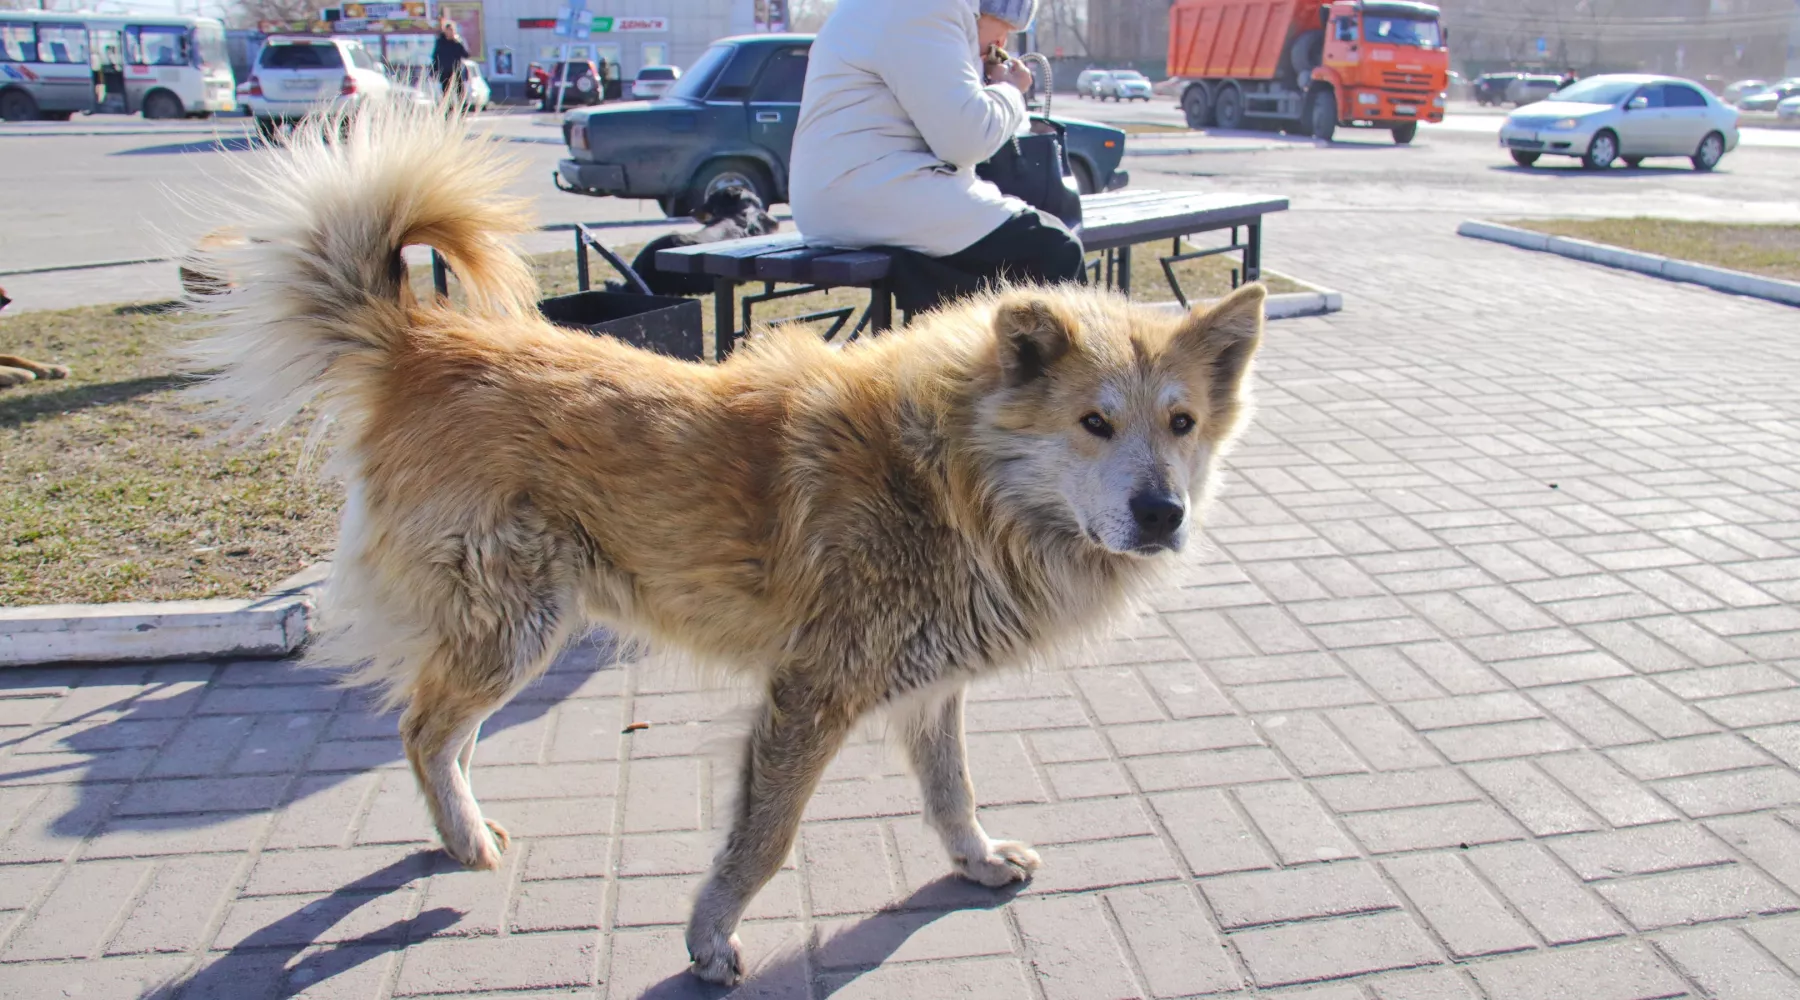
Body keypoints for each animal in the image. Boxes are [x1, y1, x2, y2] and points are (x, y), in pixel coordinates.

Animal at [186, 103, 1267, 985]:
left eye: (1180, 423)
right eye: (1094, 423)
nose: (1163, 513)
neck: (951, 477)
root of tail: (426, 337)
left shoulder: (929, 687)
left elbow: (952, 791)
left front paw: (975, 858)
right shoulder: (812, 692)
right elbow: (767, 837)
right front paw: (708, 938)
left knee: (442, 730)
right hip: (515, 625)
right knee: (422, 727)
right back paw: (463, 841)